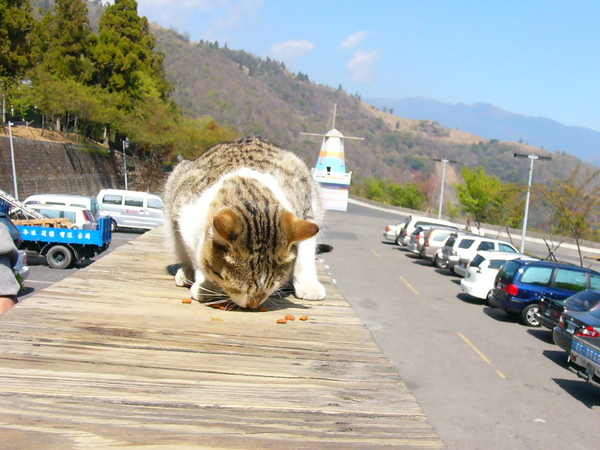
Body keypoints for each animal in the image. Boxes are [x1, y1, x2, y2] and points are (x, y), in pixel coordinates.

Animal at [162, 135, 326, 308]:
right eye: (237, 289)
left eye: (272, 285)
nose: (252, 305)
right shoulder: (184, 218)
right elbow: (196, 255)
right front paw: (207, 285)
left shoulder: (306, 209)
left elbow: (305, 254)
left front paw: (308, 285)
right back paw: (186, 273)